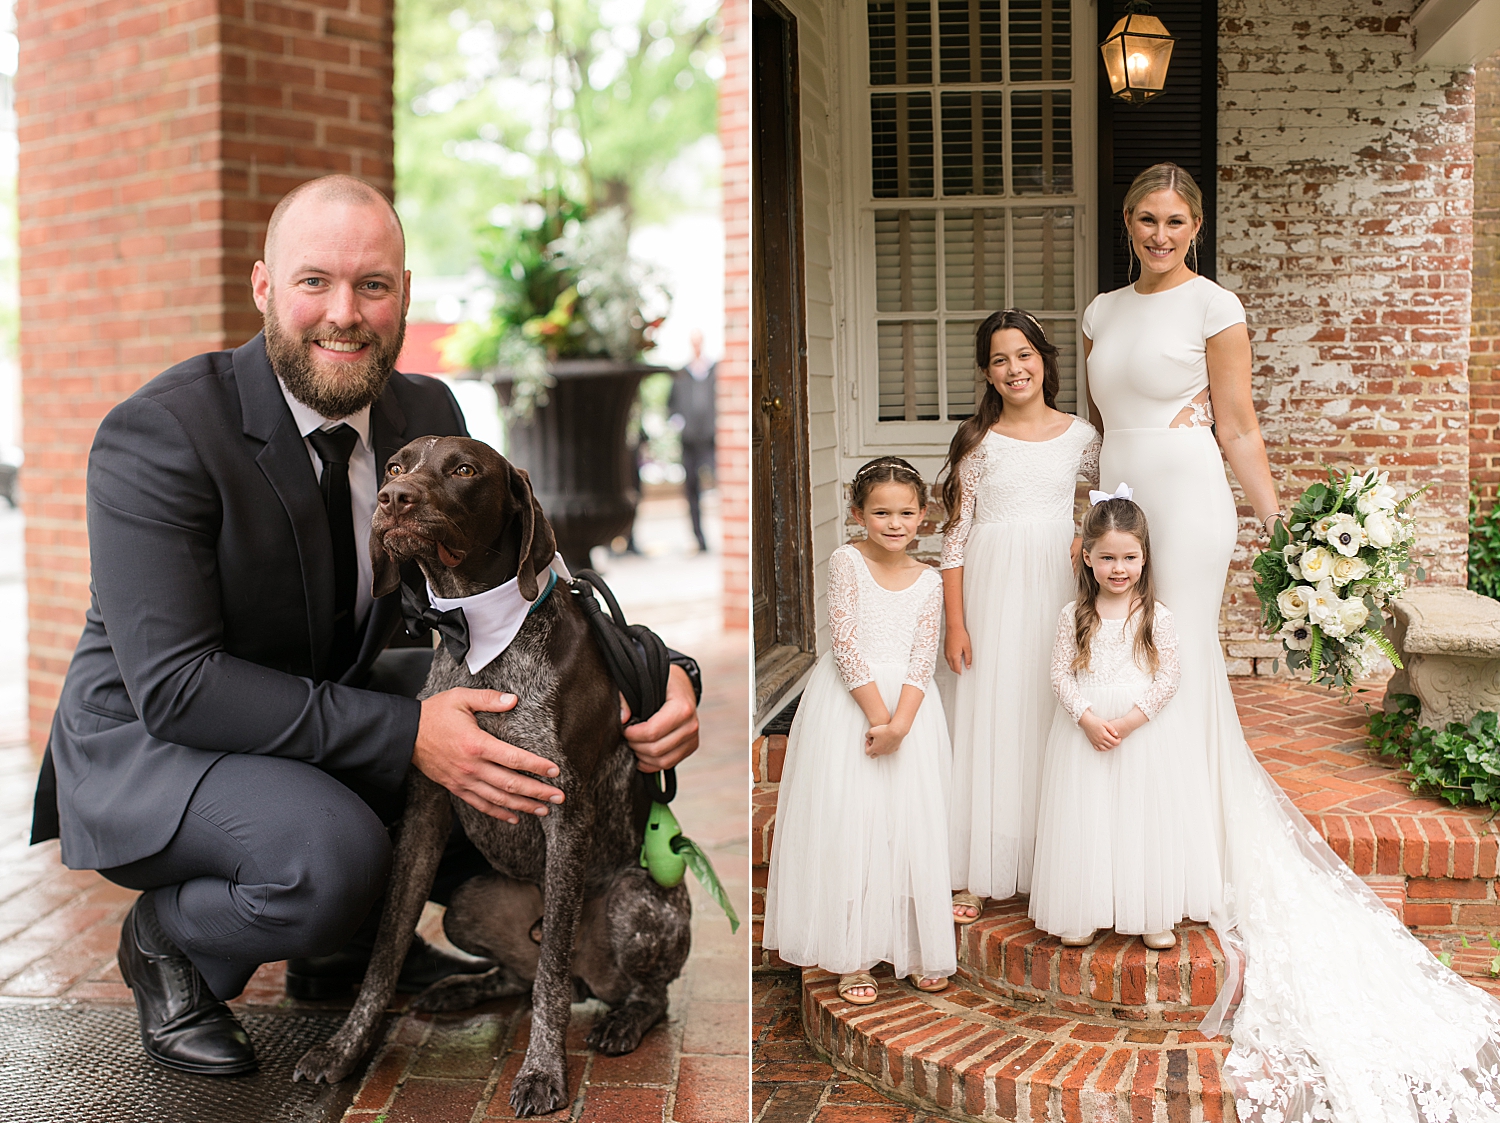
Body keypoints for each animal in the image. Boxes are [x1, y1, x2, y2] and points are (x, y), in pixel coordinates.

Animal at [295, 434, 693, 1115]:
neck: (477, 641)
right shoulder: (426, 809)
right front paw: (345, 1049)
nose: (391, 498)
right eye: (395, 465)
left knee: (630, 990)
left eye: (463, 469)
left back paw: (622, 1021)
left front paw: (542, 1073)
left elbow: (552, 975)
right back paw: (465, 985)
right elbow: (385, 951)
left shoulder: (567, 813)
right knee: (519, 973)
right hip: (469, 902)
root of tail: (595, 979)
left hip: (636, 901)